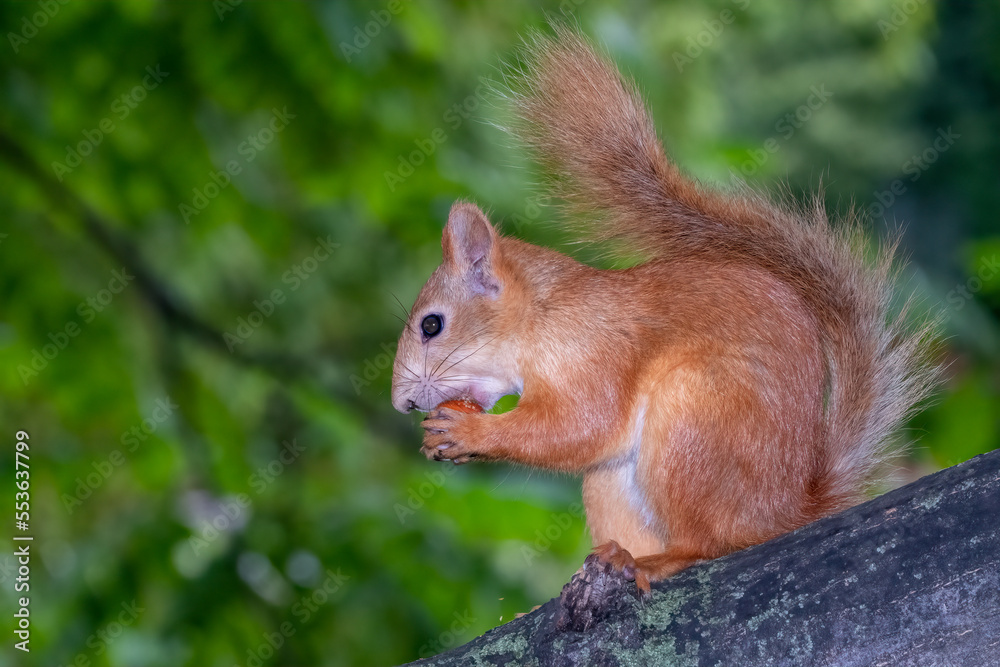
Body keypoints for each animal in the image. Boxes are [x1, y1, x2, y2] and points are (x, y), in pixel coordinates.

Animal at [390, 27, 936, 593]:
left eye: (432, 324)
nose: (402, 403)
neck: (541, 317)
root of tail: (786, 512)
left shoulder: (593, 351)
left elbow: (580, 425)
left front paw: (470, 433)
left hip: (692, 417)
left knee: (710, 543)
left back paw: (660, 561)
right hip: (614, 481)